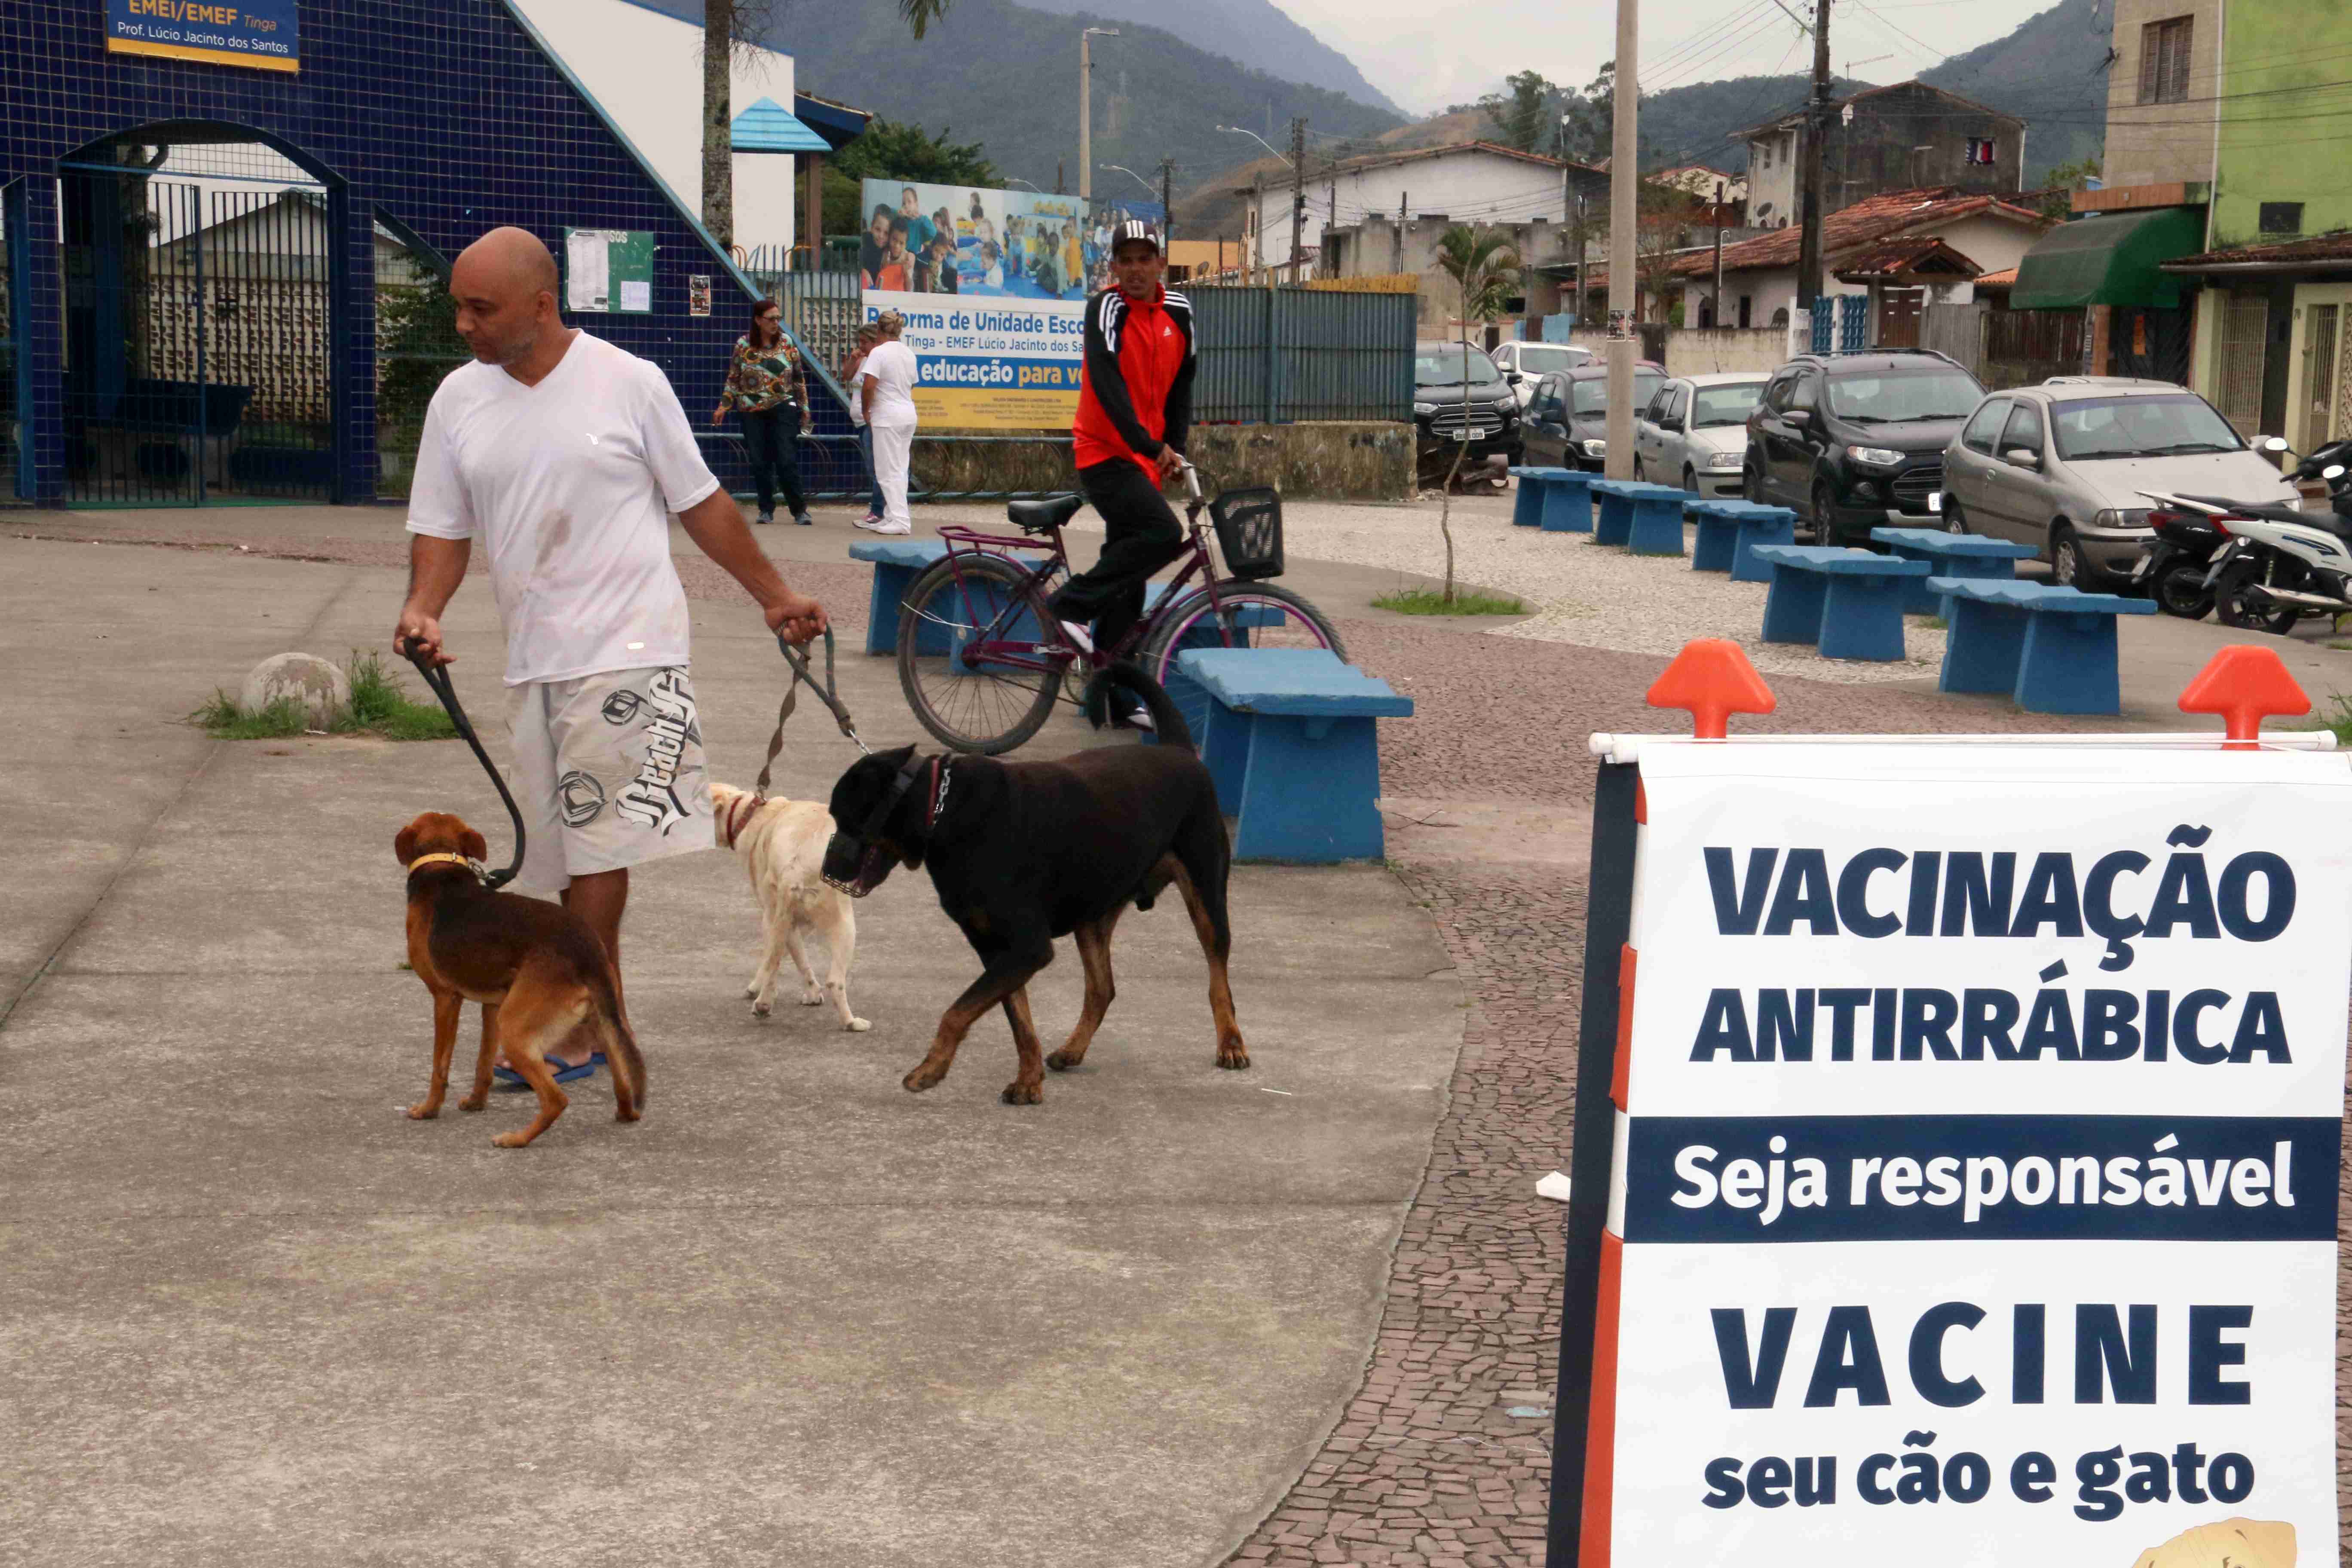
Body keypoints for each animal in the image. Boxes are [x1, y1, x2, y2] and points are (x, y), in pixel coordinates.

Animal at [395, 818, 649, 1147]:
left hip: (514, 1029)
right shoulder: (492, 1006)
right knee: (623, 1080)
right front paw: (476, 1103)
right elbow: (483, 1065)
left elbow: (440, 1067)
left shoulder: (445, 999)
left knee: (556, 1100)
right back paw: (626, 1113)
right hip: (600, 1022)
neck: (442, 866)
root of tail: (587, 953)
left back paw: (517, 1139)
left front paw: (428, 1109)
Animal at [715, 780, 875, 1029]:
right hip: (845, 926)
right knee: (834, 981)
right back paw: (851, 1023)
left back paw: (765, 1005)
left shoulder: (778, 920)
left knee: (779, 962)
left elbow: (780, 957)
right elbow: (789, 957)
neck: (752, 814)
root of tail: (796, 868)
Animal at [823, 663, 1242, 1105]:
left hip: (1207, 895)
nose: (826, 866)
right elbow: (1018, 1021)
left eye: (843, 818)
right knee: (1102, 988)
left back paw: (1231, 1045)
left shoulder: (1026, 947)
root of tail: (1179, 750)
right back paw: (1072, 1050)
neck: (942, 809)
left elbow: (957, 1012)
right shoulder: (998, 950)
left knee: (1218, 979)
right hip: (1094, 915)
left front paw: (930, 1069)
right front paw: (1028, 1080)